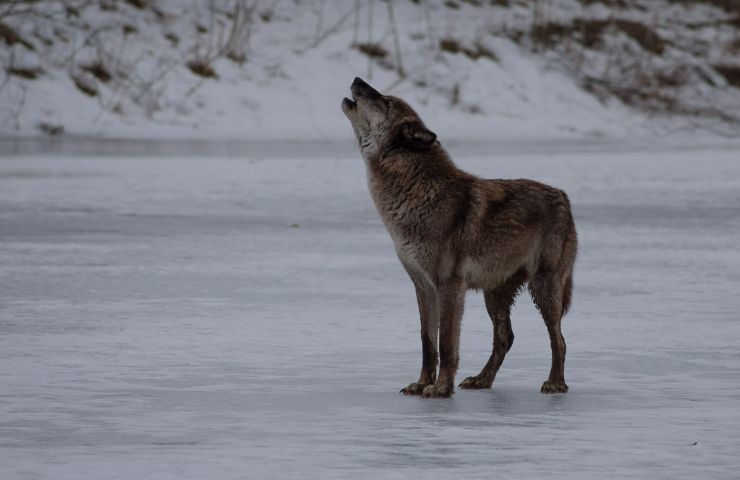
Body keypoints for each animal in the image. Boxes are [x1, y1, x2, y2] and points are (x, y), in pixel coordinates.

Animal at [342, 77, 580, 398]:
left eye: (384, 101)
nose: (357, 79)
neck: (415, 193)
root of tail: (563, 196)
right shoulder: (423, 286)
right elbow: (427, 341)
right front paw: (422, 383)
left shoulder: (449, 286)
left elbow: (446, 342)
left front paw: (441, 387)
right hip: (495, 294)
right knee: (506, 337)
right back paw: (482, 380)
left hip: (543, 288)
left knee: (560, 339)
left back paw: (555, 382)